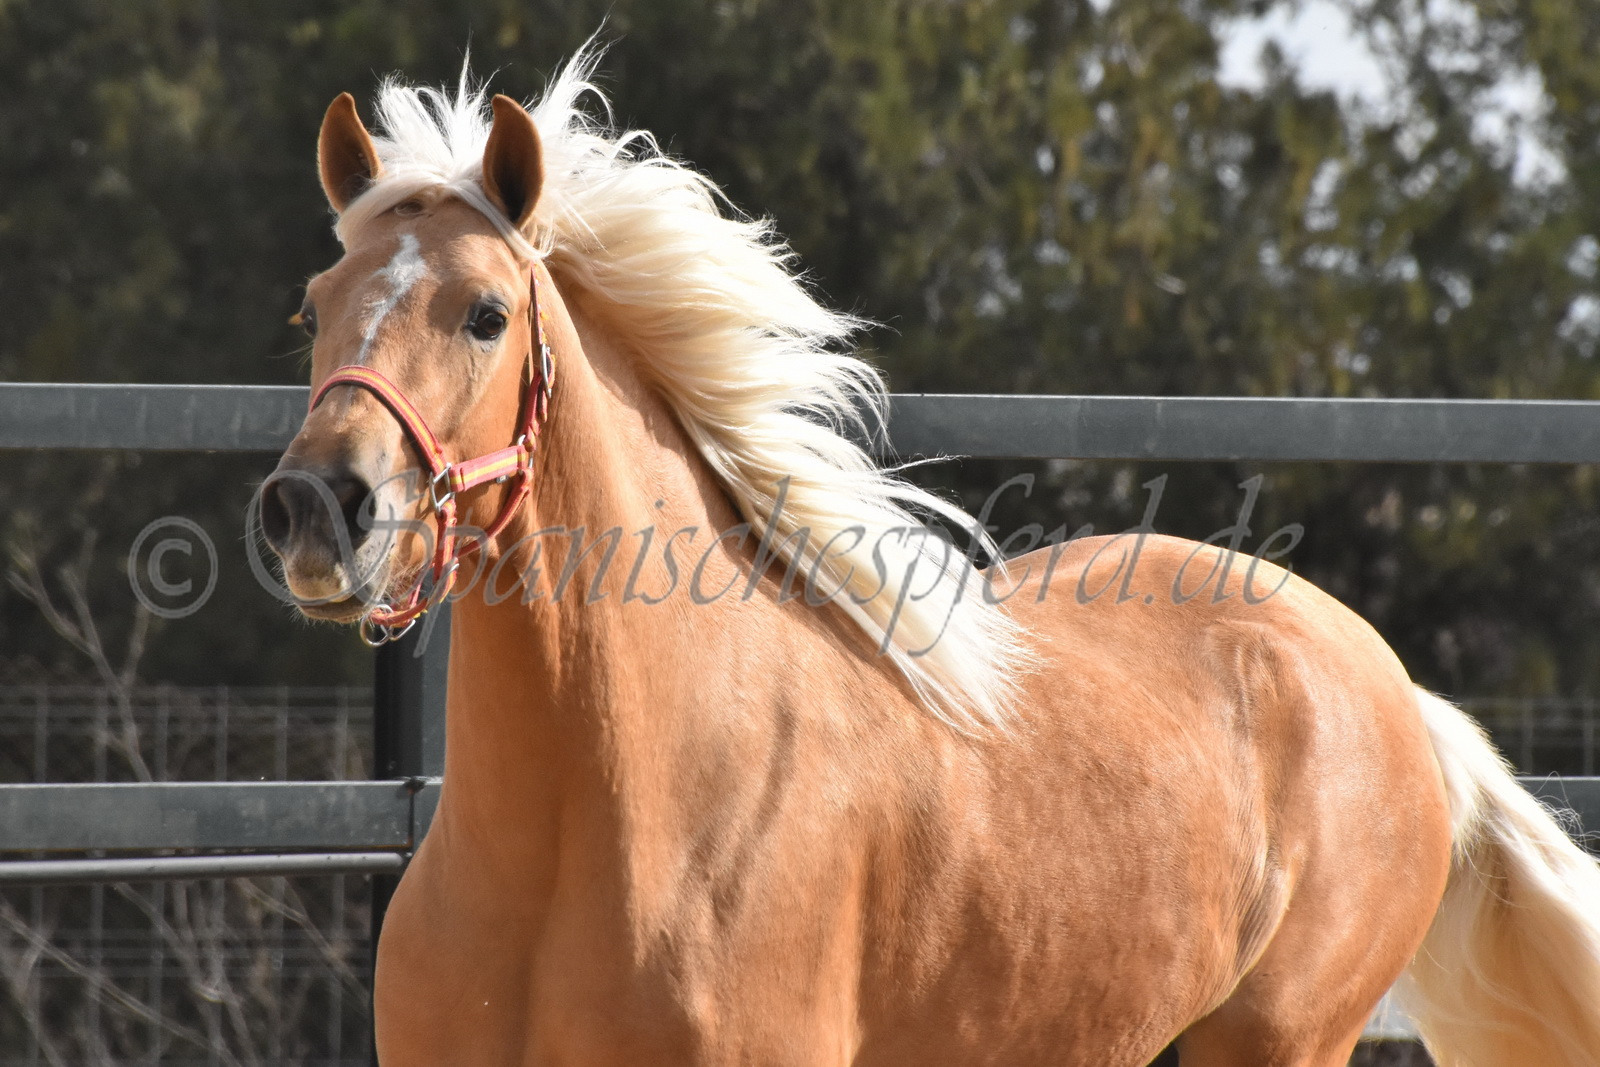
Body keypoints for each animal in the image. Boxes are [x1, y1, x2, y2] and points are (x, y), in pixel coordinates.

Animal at [259, 48, 1600, 1066]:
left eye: (486, 314)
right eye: (314, 304)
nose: (315, 509)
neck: (608, 824)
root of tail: (1394, 687)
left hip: (1277, 1042)